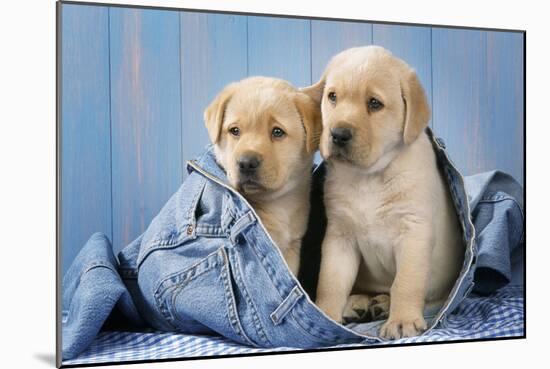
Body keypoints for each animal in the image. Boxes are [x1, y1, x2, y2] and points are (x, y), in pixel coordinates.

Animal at [306, 46, 466, 340]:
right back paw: (359, 303)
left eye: (374, 104)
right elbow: (331, 282)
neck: (369, 177)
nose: (338, 134)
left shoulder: (414, 231)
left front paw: (402, 320)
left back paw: (383, 305)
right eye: (332, 97)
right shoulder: (339, 237)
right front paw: (326, 314)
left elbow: (405, 282)